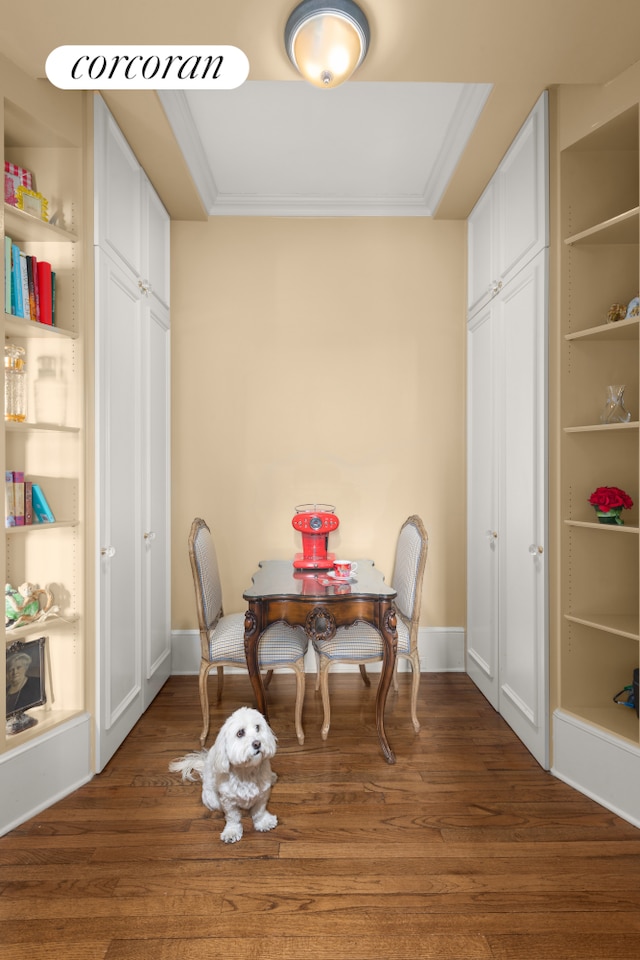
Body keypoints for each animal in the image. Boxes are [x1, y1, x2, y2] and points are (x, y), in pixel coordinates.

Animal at [170, 704, 278, 840]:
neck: (247, 771)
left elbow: (259, 810)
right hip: (212, 800)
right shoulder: (228, 801)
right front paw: (232, 832)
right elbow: (232, 817)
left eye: (258, 727)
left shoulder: (262, 794)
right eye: (240, 733)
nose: (257, 743)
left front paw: (263, 822)